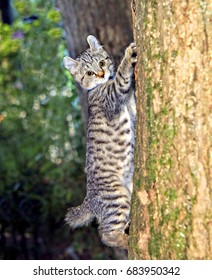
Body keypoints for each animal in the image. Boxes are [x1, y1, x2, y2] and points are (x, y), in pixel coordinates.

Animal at [63, 35, 136, 247]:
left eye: (102, 62)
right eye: (89, 72)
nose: (102, 73)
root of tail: (88, 200)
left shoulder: (131, 105)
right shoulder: (114, 94)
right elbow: (121, 77)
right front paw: (128, 55)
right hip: (116, 198)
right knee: (106, 234)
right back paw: (126, 241)